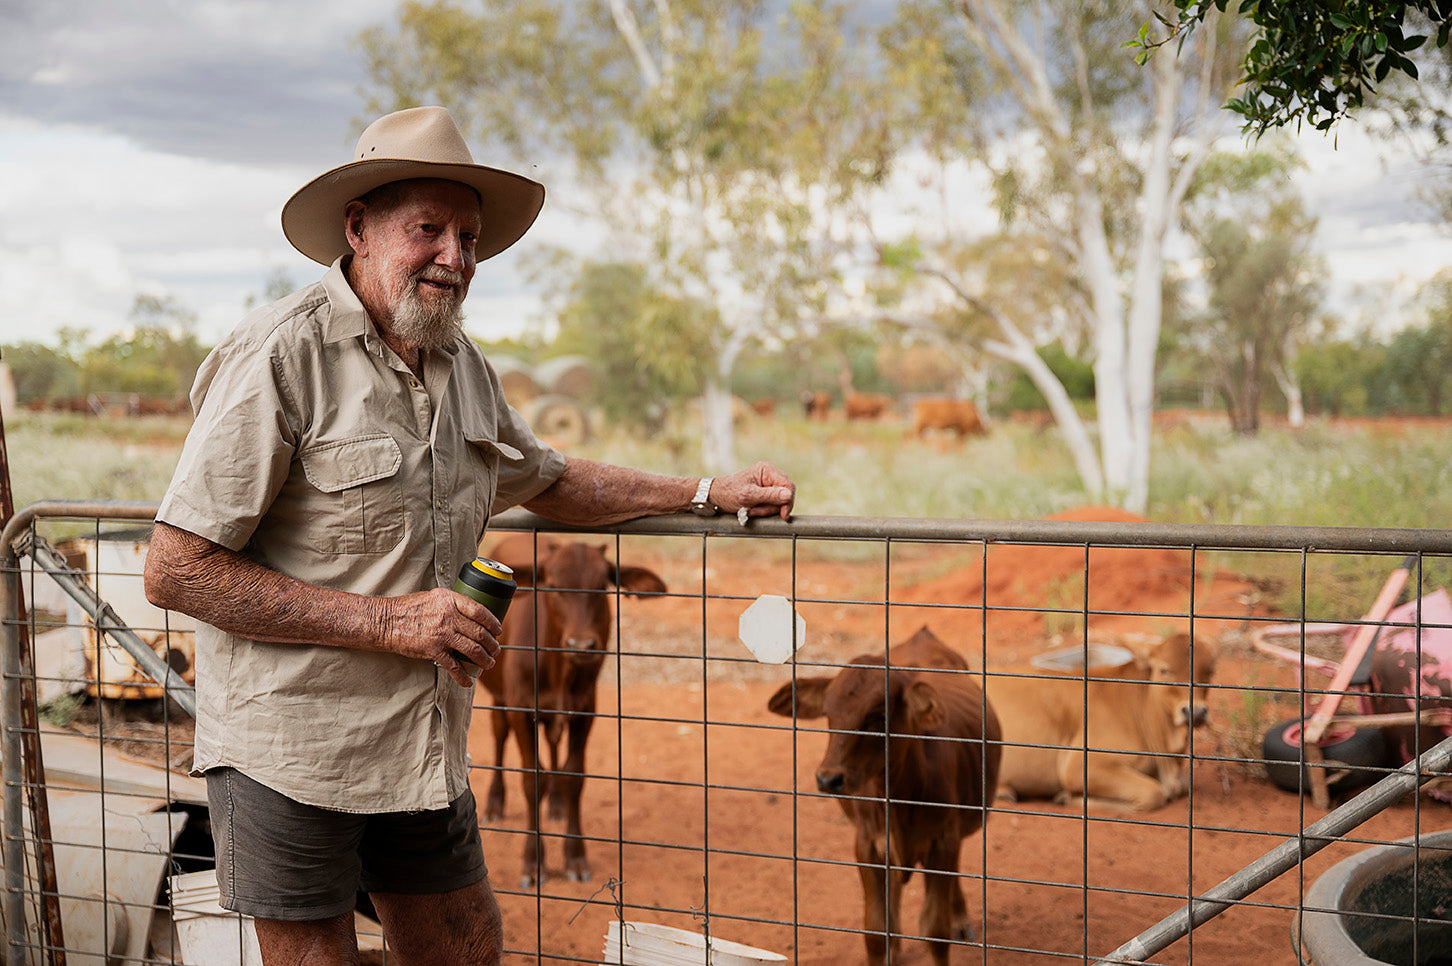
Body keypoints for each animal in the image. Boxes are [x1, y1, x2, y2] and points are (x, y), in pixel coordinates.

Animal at [476, 534, 667, 886]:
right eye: (552, 585)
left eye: (602, 587)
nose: (580, 645)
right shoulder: (520, 708)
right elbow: (531, 778)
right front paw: (533, 861)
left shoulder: (585, 710)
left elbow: (573, 775)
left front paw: (575, 856)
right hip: (499, 696)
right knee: (498, 733)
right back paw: (495, 802)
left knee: (553, 749)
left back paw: (557, 805)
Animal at [767, 626, 1001, 966]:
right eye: (828, 714)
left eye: (877, 718)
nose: (828, 778)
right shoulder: (868, 843)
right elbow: (876, 930)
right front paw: (888, 945)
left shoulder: (943, 839)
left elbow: (936, 929)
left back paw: (960, 920)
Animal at [989, 632, 1218, 812]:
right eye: (1164, 670)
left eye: (1209, 672)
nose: (1195, 712)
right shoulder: (1078, 766)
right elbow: (1153, 793)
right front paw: (1067, 797)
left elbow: (1182, 785)